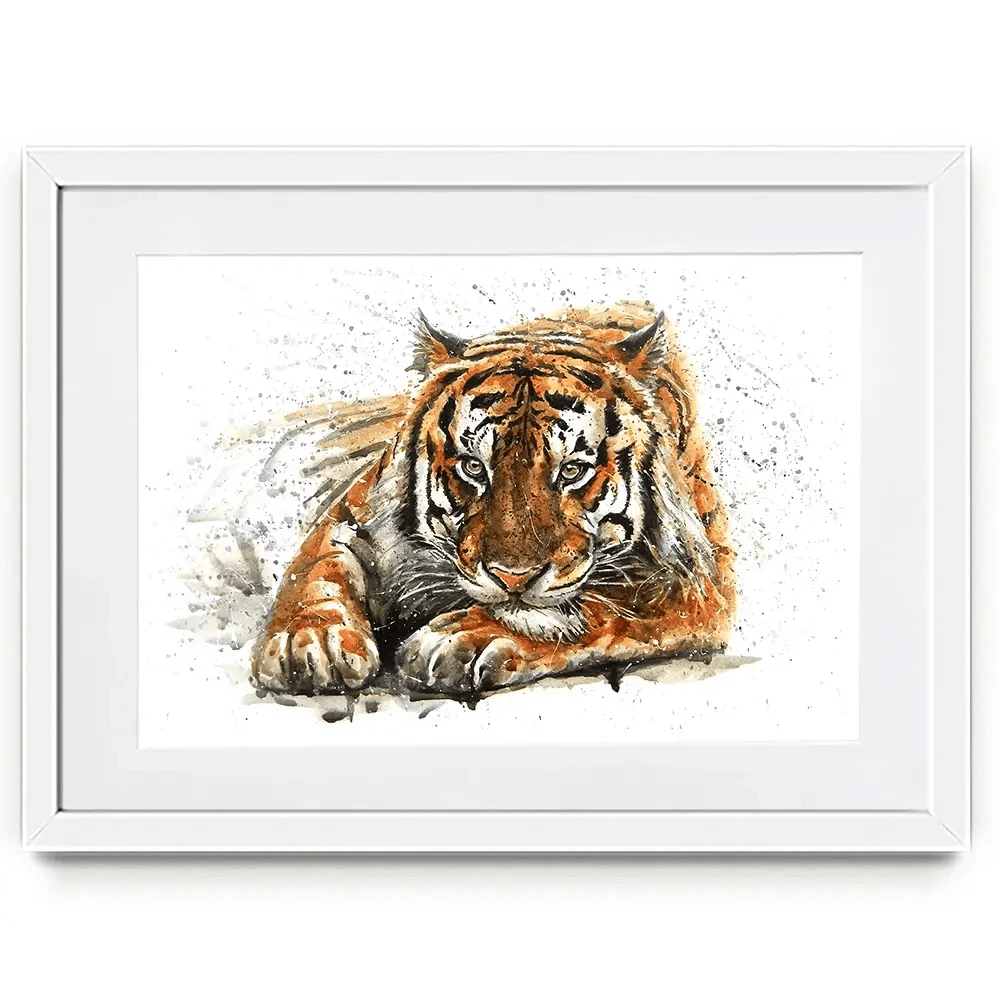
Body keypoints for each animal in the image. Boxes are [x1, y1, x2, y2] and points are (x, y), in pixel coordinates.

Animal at [251, 300, 736, 699]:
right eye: (473, 468)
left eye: (572, 471)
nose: (513, 578)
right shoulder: (354, 511)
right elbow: (316, 569)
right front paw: (309, 641)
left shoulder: (698, 579)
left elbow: (603, 605)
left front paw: (464, 638)